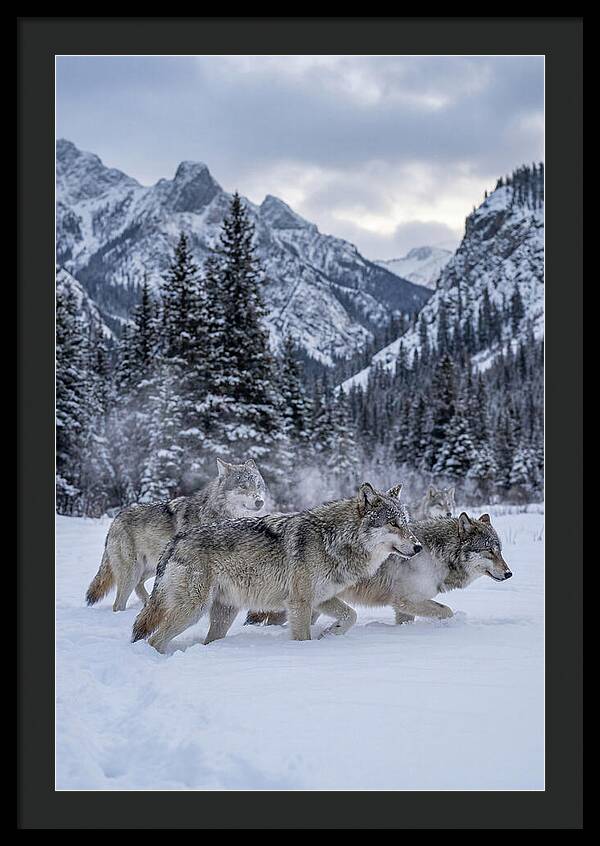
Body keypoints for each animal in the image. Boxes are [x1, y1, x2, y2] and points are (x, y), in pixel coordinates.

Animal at [85, 458, 267, 612]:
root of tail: (116, 518)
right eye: (243, 485)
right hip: (132, 572)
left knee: (139, 585)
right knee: (118, 604)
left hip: (153, 567)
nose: (260, 501)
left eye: (258, 485)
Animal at [131, 482, 422, 652]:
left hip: (224, 614)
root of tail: (175, 540)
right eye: (393, 524)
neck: (334, 539)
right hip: (192, 611)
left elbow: (351, 615)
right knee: (154, 639)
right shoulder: (300, 603)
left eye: (406, 522)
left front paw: (330, 634)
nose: (418, 546)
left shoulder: (321, 599)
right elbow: (303, 637)